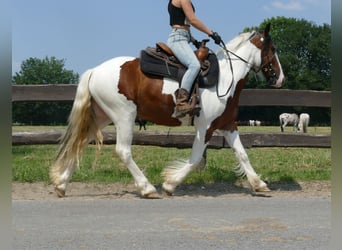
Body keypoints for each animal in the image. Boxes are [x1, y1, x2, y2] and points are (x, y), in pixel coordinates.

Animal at [49, 23, 284, 199]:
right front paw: (170, 183)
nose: (280, 78)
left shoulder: (227, 125)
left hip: (102, 116)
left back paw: (61, 185)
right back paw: (147, 188)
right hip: (124, 115)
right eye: (272, 50)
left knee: (80, 142)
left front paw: (259, 184)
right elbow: (195, 158)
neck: (226, 77)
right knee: (123, 151)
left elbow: (242, 154)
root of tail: (95, 70)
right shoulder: (205, 127)